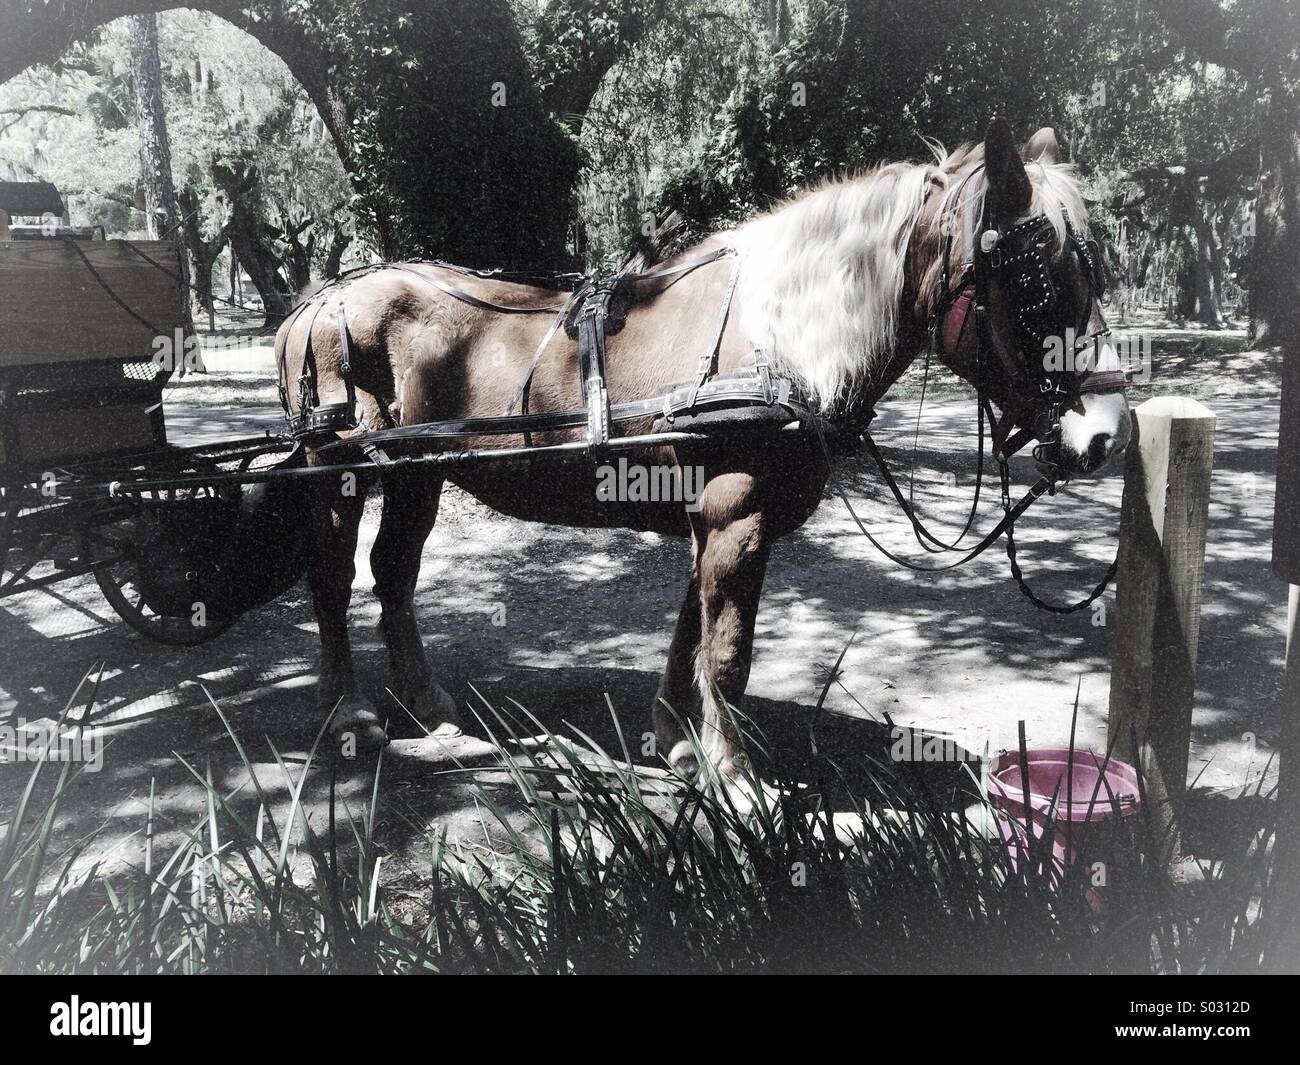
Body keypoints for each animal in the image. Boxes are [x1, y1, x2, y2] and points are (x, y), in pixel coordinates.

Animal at [273, 118, 1132, 784]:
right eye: (1032, 279)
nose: (1106, 430)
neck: (780, 338)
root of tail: (319, 301)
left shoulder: (712, 515)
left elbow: (692, 629)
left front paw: (677, 739)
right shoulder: (734, 513)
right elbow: (727, 654)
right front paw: (734, 773)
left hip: (417, 475)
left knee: (393, 571)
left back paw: (427, 705)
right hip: (339, 472)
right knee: (331, 575)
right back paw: (348, 713)